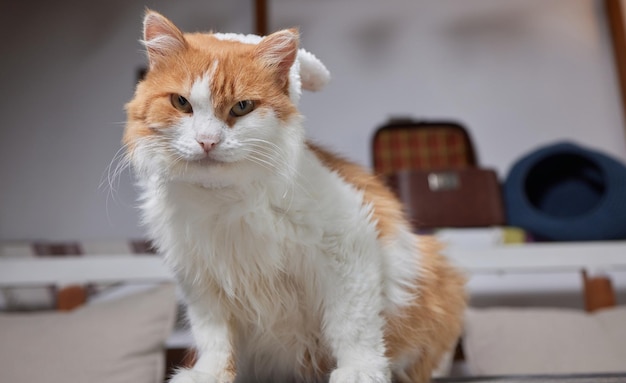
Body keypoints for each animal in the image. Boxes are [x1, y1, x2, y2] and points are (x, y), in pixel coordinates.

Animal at [123, 9, 464, 383]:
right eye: (181, 103)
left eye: (241, 107)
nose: (207, 141)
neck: (222, 201)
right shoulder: (200, 280)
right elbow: (214, 340)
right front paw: (207, 375)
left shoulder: (349, 247)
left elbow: (352, 326)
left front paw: (359, 370)